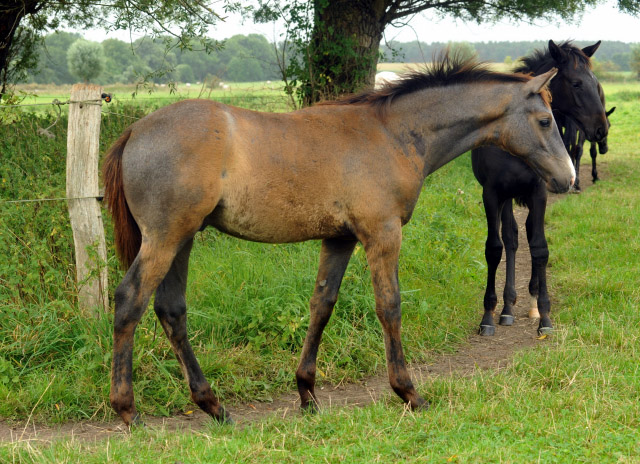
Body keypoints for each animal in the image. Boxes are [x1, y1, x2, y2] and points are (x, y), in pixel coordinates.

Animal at [102, 55, 572, 428]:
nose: (567, 179)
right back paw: (128, 410)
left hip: (182, 239)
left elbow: (322, 305)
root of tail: (135, 131)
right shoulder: (382, 233)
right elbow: (389, 306)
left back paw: (213, 406)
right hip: (165, 238)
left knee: (171, 310)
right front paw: (408, 392)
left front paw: (307, 394)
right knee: (130, 301)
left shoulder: (340, 238)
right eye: (545, 120)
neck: (394, 133)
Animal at [472, 40, 608, 338]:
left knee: (529, 234)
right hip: (507, 198)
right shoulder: (492, 194)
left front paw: (544, 315)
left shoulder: (539, 192)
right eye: (577, 83)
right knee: (511, 239)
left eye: (596, 83)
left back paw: (532, 299)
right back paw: (508, 307)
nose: (601, 129)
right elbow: (495, 248)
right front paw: (488, 315)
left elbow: (540, 248)